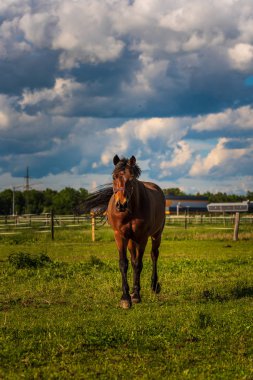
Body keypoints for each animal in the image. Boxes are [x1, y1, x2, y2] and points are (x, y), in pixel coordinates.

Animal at [84, 155, 165, 308]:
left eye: (131, 178)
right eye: (114, 176)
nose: (121, 204)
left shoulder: (142, 237)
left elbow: (139, 264)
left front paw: (137, 296)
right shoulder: (120, 236)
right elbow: (124, 264)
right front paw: (126, 297)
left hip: (156, 235)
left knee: (154, 255)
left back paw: (154, 285)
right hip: (131, 240)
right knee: (133, 260)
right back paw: (133, 292)